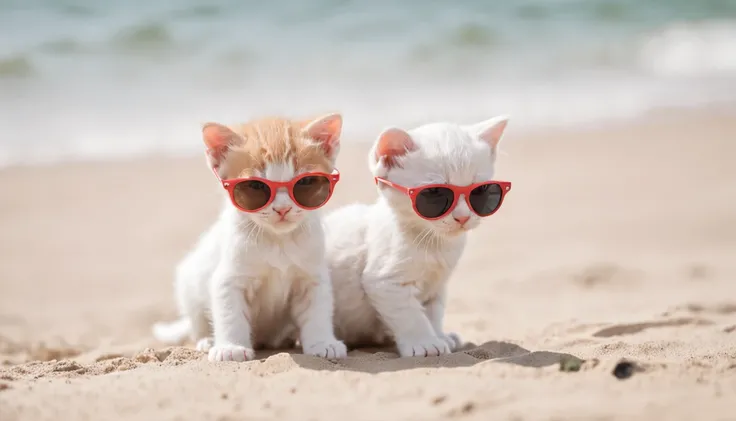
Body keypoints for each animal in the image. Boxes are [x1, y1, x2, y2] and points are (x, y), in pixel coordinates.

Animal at [152, 113, 348, 360]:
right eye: (255, 186)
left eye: (305, 182)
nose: (282, 209)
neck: (277, 242)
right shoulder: (229, 279)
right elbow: (230, 314)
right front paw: (230, 347)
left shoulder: (312, 278)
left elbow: (318, 311)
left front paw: (323, 342)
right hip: (189, 283)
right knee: (197, 322)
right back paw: (208, 340)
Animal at [324, 115, 508, 358]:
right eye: (434, 193)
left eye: (481, 190)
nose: (462, 217)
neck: (434, 244)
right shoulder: (385, 281)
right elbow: (411, 315)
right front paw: (425, 343)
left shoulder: (436, 286)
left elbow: (433, 313)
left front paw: (440, 336)